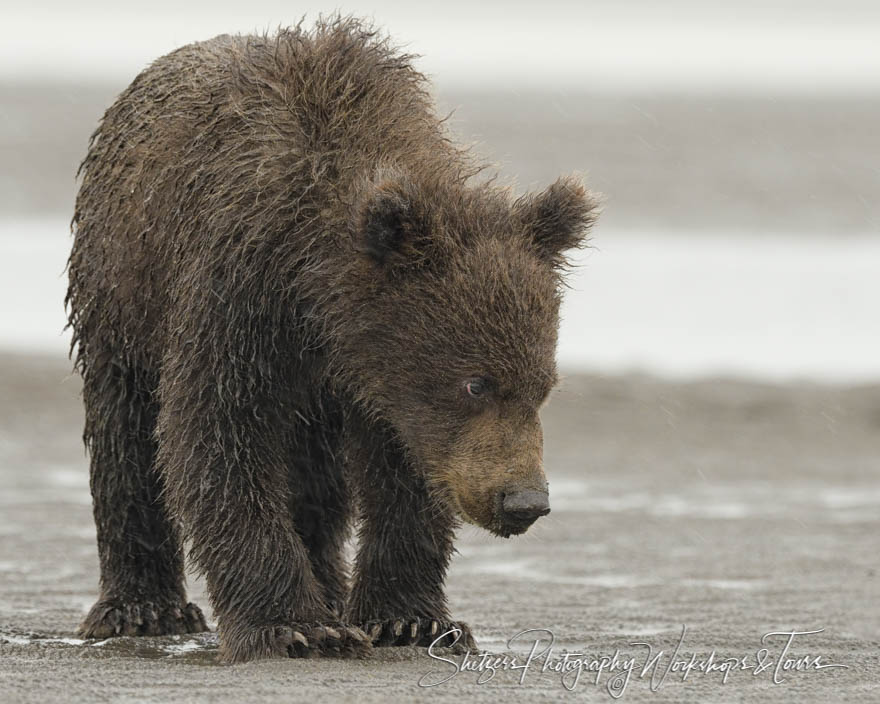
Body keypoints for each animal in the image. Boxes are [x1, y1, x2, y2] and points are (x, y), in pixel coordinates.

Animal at [65, 17, 600, 664]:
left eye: (543, 385)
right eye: (476, 382)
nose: (523, 501)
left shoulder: (385, 389)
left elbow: (406, 474)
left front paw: (409, 619)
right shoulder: (237, 292)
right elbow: (217, 436)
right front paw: (294, 626)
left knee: (317, 478)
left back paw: (328, 587)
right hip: (123, 292)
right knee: (125, 430)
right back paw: (143, 608)